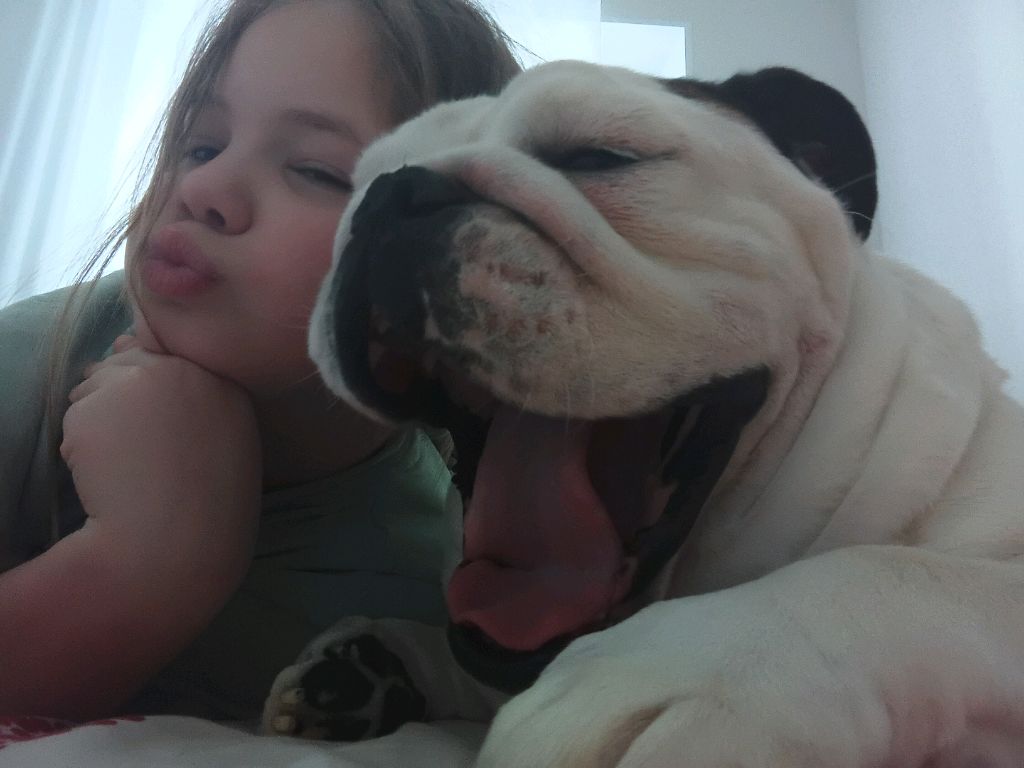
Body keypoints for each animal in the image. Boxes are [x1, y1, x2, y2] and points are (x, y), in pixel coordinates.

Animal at [263, 62, 1024, 767]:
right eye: (354, 188)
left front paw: (704, 663)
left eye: (598, 156)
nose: (389, 195)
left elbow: (896, 576)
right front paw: (375, 663)